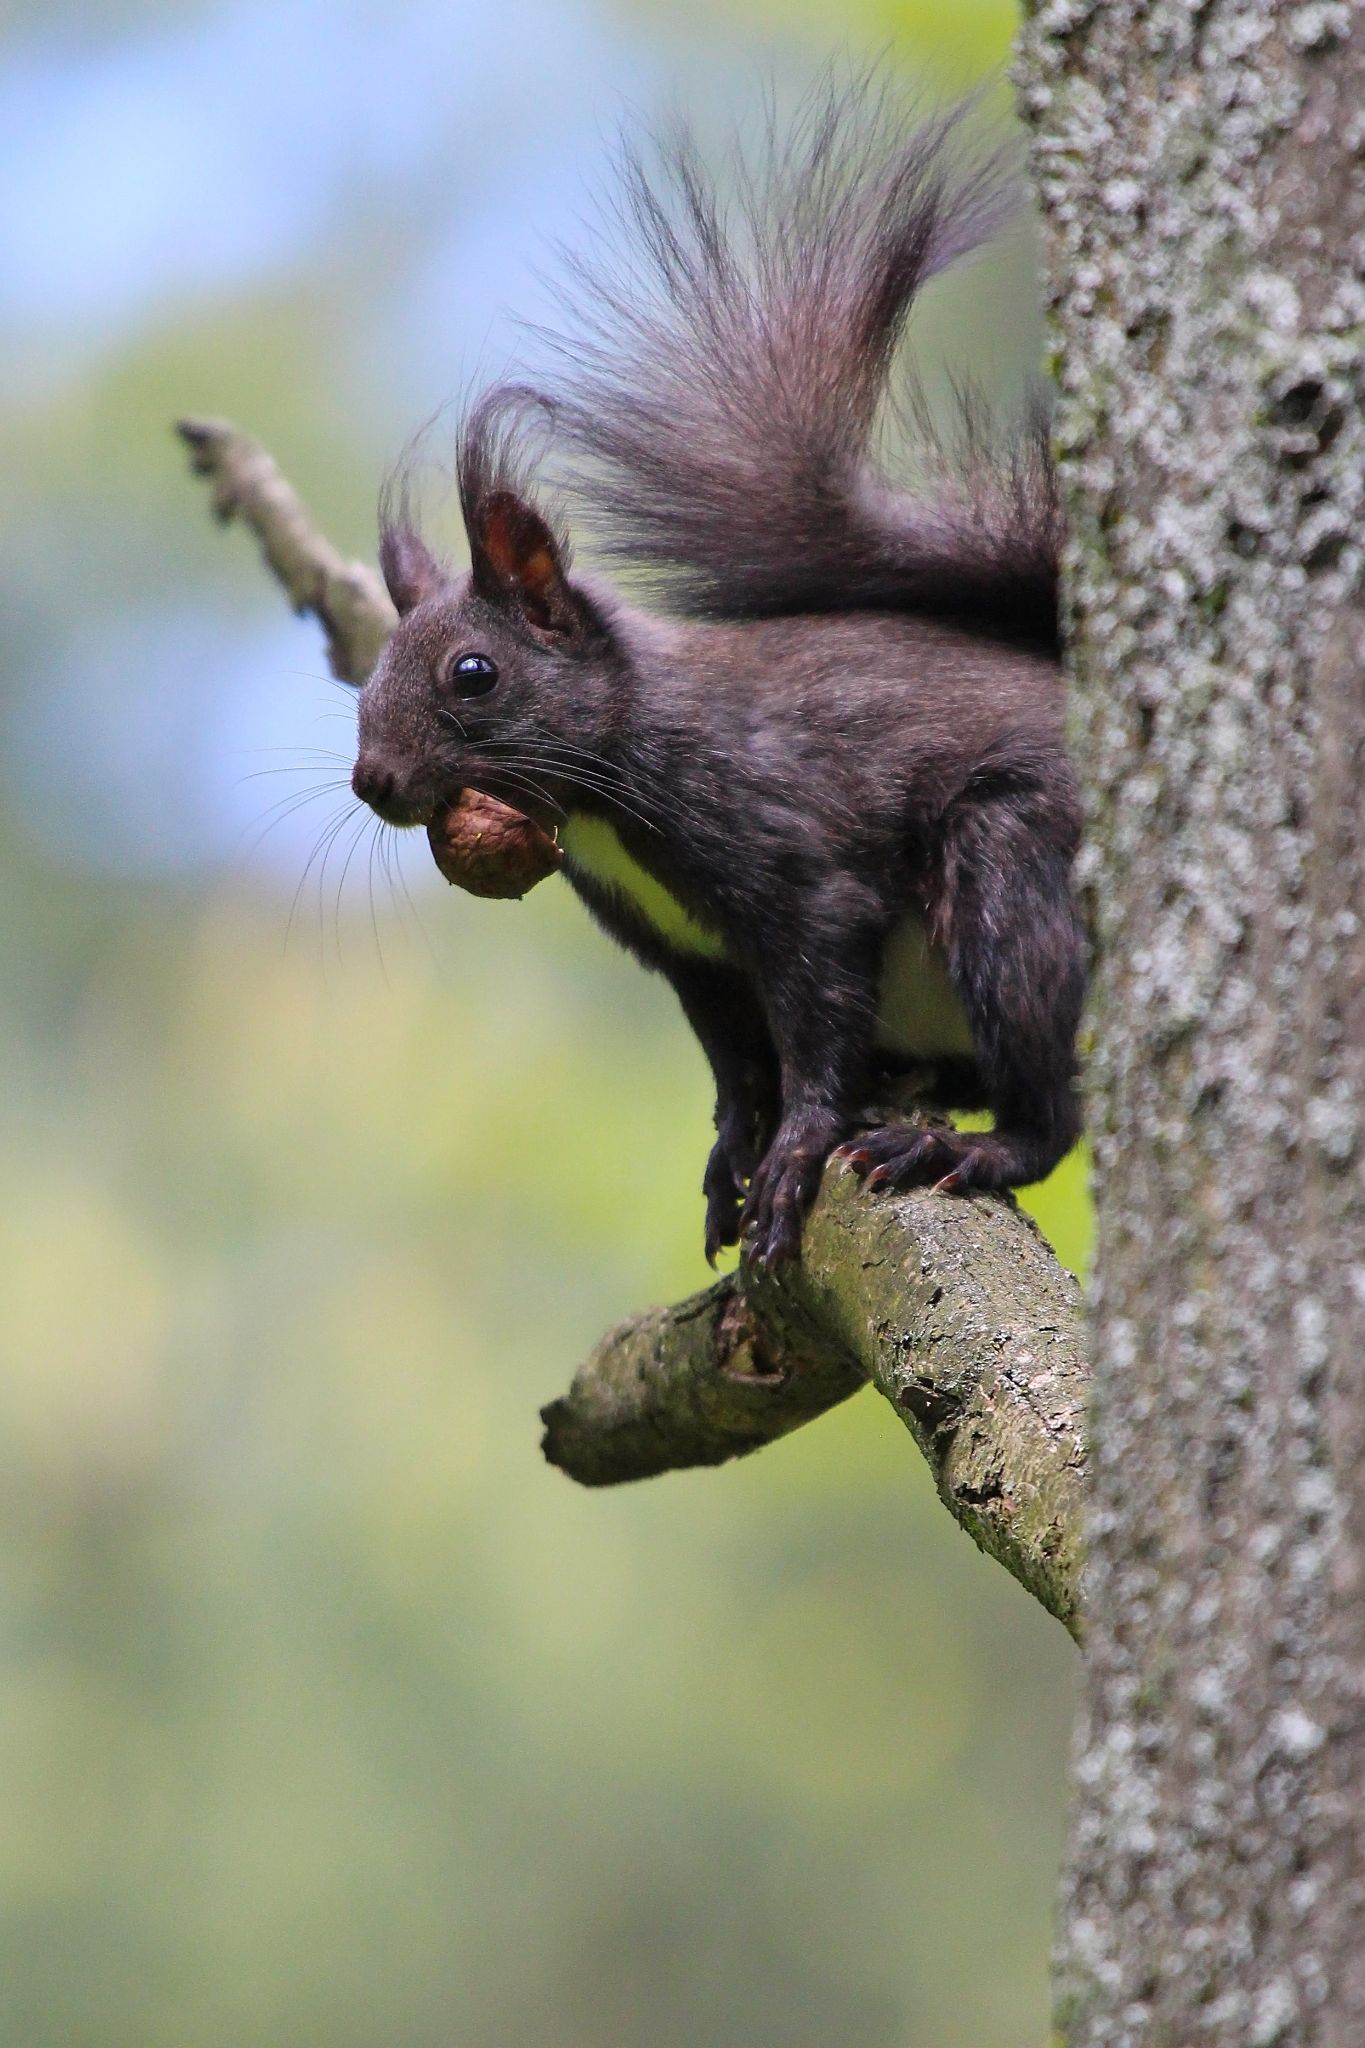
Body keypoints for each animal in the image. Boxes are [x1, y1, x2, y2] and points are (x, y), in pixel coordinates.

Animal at [350, 82, 1085, 1267]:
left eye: (473, 673)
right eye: (360, 680)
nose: (373, 781)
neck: (611, 771)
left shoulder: (795, 869)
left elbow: (815, 1026)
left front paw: (793, 1153)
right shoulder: (687, 954)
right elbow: (736, 1063)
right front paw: (736, 1149)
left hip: (1011, 868)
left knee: (1049, 1093)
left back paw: (972, 1147)